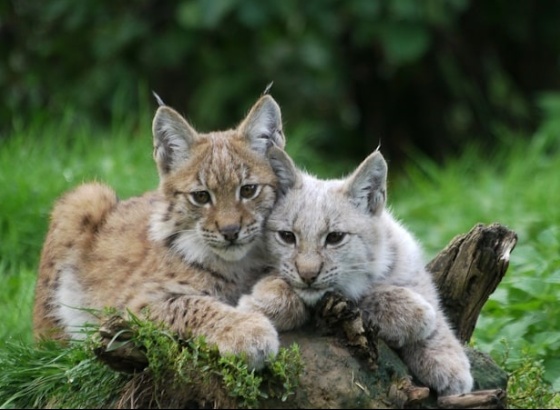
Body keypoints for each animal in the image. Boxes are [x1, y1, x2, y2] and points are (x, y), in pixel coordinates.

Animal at [31, 94, 296, 370]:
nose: (231, 231)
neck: (238, 264)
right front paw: (247, 331)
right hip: (86, 195)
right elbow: (192, 304)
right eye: (201, 197)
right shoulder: (135, 304)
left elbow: (288, 286)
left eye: (248, 190)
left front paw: (264, 301)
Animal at [238, 147, 474, 394]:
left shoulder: (407, 257)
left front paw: (447, 360)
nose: (308, 275)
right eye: (287, 236)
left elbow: (432, 304)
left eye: (335, 237)